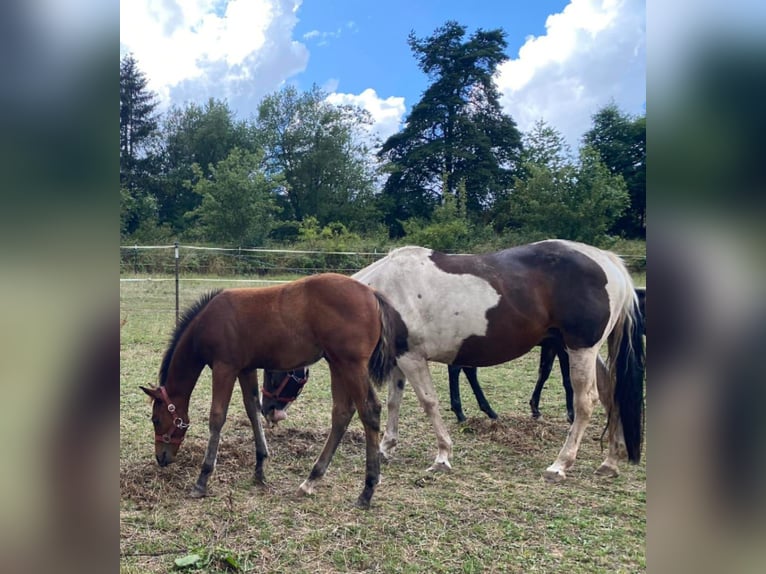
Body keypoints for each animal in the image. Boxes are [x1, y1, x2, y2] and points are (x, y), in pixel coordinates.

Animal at [142, 274, 412, 508]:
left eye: (156, 420)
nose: (161, 458)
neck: (207, 322)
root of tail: (372, 294)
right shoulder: (246, 368)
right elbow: (253, 409)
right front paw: (260, 468)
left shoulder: (224, 367)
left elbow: (217, 417)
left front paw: (202, 479)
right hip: (337, 363)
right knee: (342, 413)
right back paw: (311, 479)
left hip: (351, 364)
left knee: (369, 411)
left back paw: (367, 489)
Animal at [450, 290, 648, 426]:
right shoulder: (563, 347)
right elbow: (566, 379)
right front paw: (571, 414)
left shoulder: (550, 346)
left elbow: (544, 372)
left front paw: (535, 409)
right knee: (458, 369)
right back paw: (462, 412)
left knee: (467, 370)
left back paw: (487, 411)